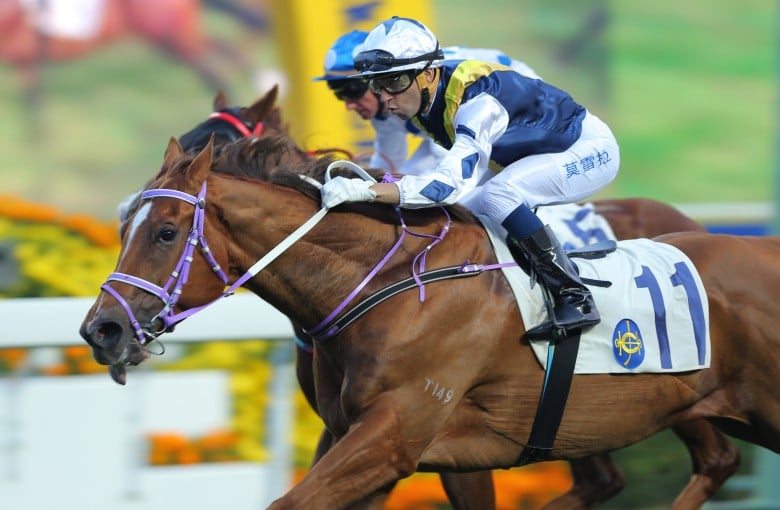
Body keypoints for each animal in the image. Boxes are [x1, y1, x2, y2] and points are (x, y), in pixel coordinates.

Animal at [81, 134, 779, 510]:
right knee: (713, 460)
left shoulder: (395, 435)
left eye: (166, 232)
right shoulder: (375, 443)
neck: (388, 287)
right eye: (126, 226)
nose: (101, 330)